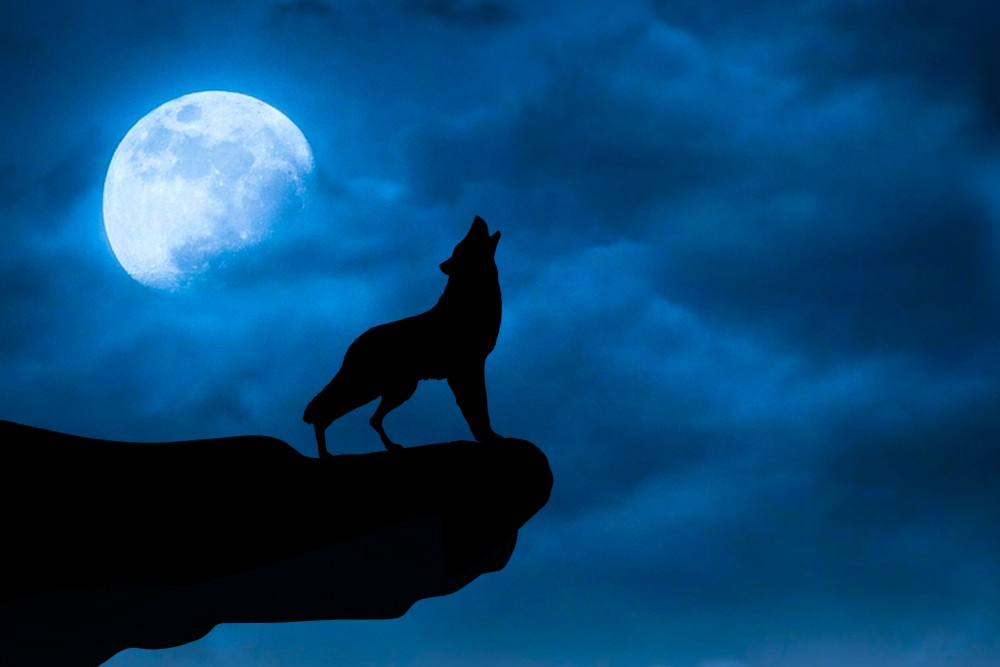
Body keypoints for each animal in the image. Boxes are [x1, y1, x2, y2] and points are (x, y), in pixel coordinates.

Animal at [303, 216, 503, 457]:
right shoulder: (465, 368)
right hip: (370, 388)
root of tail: (353, 345)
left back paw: (389, 446)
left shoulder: (469, 368)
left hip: (399, 390)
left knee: (371, 419)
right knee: (325, 410)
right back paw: (325, 454)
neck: (470, 296)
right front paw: (489, 437)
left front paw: (489, 436)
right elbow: (477, 408)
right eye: (464, 243)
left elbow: (478, 408)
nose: (476, 218)